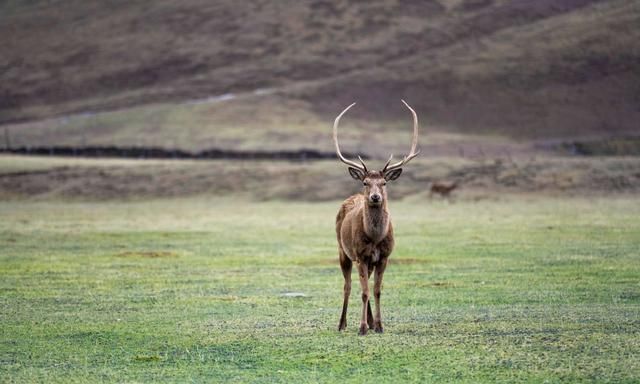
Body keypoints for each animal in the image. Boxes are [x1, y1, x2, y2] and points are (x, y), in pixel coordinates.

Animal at [332, 100, 422, 336]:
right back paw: (342, 324)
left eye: (384, 182)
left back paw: (371, 322)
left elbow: (377, 290)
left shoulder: (383, 257)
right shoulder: (360, 255)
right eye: (365, 182)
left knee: (365, 286)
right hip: (343, 251)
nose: (375, 197)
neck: (374, 237)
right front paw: (362, 327)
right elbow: (363, 292)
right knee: (348, 286)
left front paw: (379, 325)